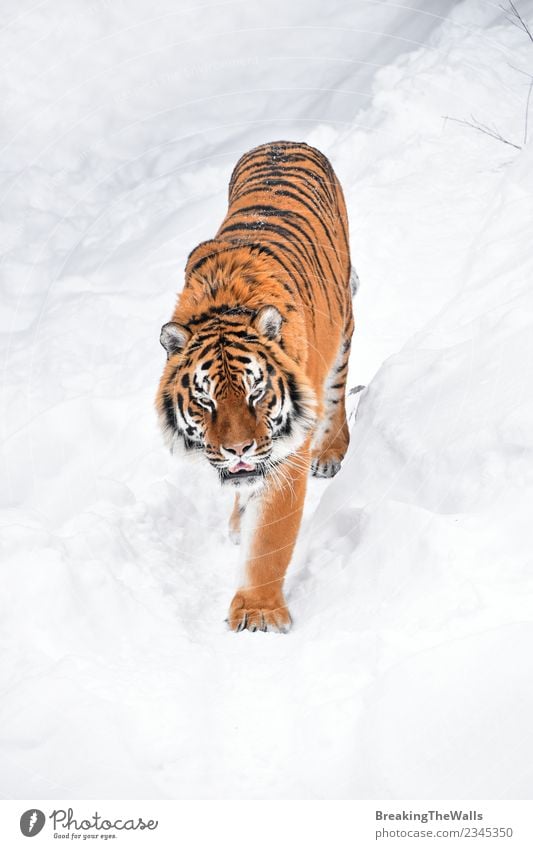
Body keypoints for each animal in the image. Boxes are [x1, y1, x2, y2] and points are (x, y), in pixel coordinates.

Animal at [154, 141, 354, 628]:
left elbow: (270, 541)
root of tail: (284, 141)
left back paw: (330, 453)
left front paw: (258, 612)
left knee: (336, 398)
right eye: (204, 401)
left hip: (341, 332)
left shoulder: (286, 454)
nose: (238, 450)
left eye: (256, 393)